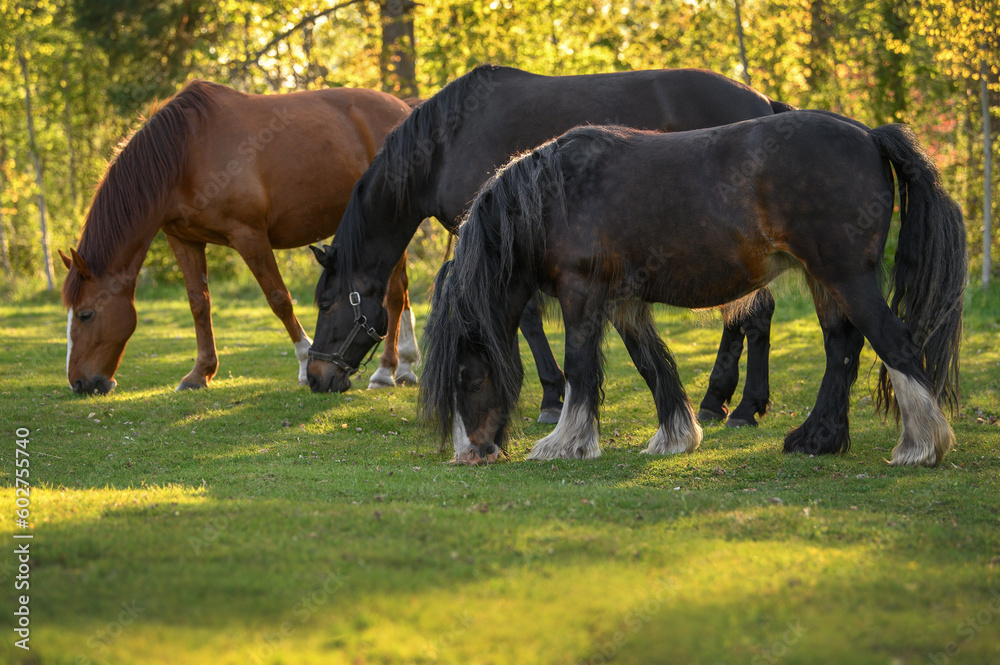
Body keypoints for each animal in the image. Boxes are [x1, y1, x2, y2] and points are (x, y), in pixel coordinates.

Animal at [60, 82, 412, 394]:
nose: (78, 383)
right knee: (402, 292)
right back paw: (406, 366)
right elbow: (198, 304)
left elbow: (279, 299)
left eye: (86, 315)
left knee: (395, 294)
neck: (185, 152)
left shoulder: (248, 235)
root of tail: (403, 109)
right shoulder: (183, 240)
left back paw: (386, 371)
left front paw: (302, 364)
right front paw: (199, 373)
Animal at [308, 63, 784, 426]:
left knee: (753, 314)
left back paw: (740, 405)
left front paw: (552, 397)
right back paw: (721, 401)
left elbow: (529, 319)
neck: (447, 143)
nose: (315, 376)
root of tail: (763, 102)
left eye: (327, 304)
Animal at [422, 113, 968, 466]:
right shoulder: (623, 302)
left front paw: (564, 444)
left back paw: (920, 447)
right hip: (826, 280)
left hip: (844, 275)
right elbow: (652, 364)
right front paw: (676, 436)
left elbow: (579, 367)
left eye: (469, 377)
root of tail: (871, 135)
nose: (470, 455)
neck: (557, 195)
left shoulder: (583, 294)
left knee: (894, 343)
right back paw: (817, 439)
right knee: (842, 349)